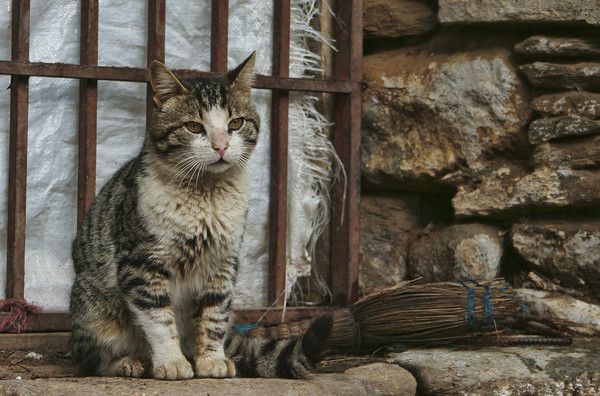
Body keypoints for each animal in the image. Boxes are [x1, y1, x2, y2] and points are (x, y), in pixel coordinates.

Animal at [71, 53, 332, 380]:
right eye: (194, 127)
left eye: (236, 123)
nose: (221, 146)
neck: (206, 196)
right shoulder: (141, 263)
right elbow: (158, 318)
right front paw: (171, 362)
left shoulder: (223, 262)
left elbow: (214, 316)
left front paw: (211, 360)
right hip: (96, 313)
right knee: (93, 357)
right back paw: (130, 362)